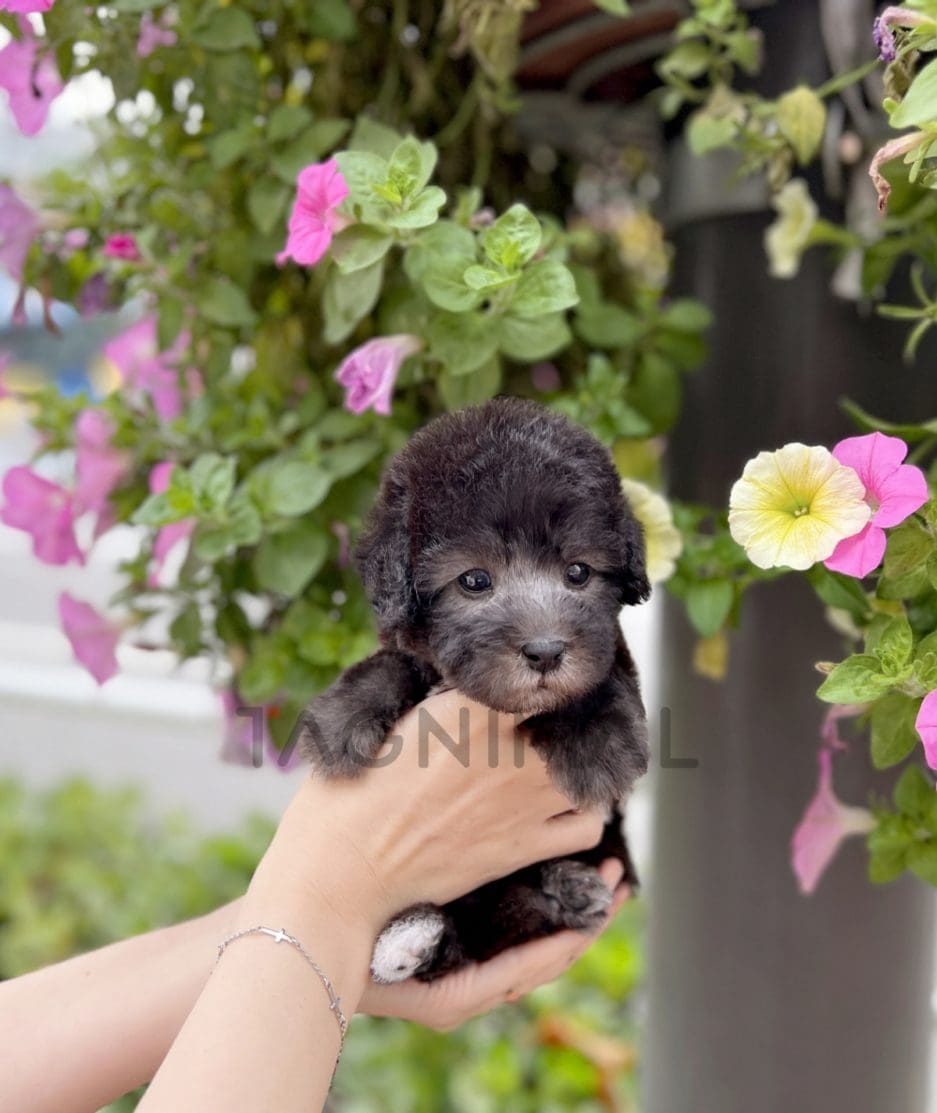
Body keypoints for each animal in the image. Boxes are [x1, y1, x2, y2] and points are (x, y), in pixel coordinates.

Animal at [296, 394, 645, 983]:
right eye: (475, 580)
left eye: (578, 572)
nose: (546, 651)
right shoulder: (413, 652)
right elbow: (396, 663)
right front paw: (340, 720)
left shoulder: (611, 658)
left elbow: (600, 677)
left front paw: (595, 744)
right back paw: (411, 938)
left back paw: (568, 888)